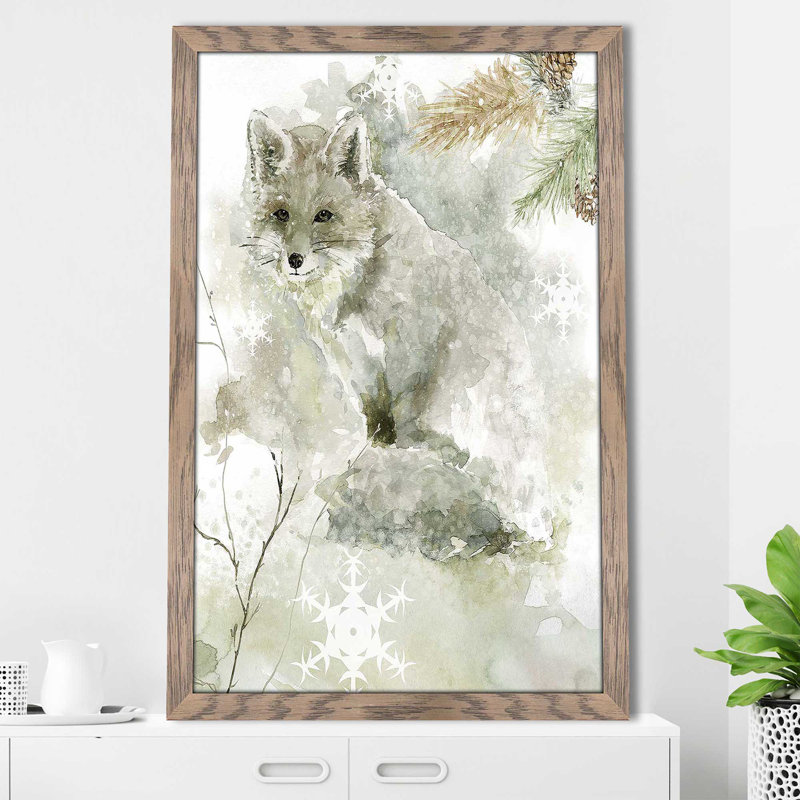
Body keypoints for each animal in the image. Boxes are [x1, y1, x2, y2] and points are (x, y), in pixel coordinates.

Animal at [204, 110, 552, 560]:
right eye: (281, 214)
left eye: (323, 215)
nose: (294, 260)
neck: (356, 274)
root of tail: (535, 522)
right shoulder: (353, 361)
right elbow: (377, 428)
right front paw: (370, 455)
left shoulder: (410, 349)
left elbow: (401, 427)